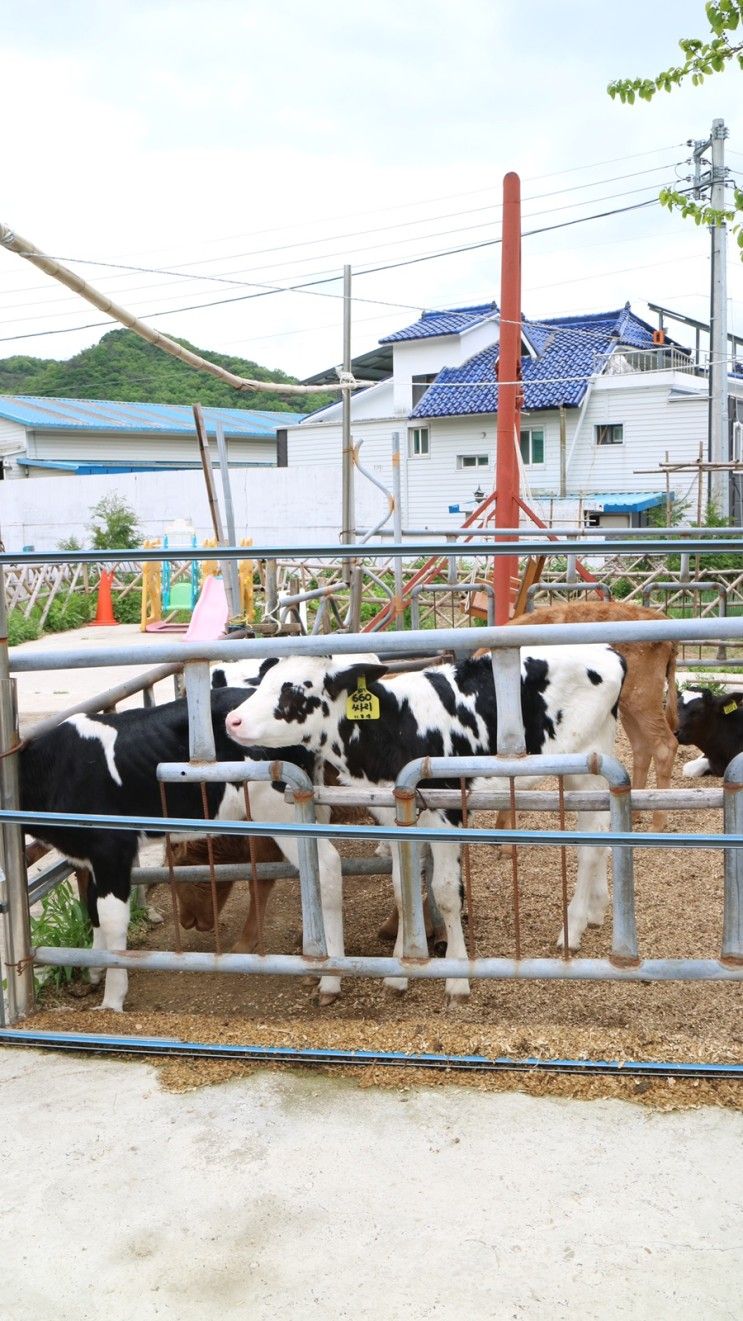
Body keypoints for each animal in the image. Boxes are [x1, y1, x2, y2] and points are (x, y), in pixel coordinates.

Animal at [19, 686, 343, 1003]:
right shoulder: (88, 856)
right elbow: (92, 909)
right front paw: (94, 970)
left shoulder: (111, 849)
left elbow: (111, 918)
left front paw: (112, 998)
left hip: (278, 806)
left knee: (326, 865)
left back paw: (330, 979)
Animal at [224, 642, 624, 998]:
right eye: (263, 680)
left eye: (293, 689)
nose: (232, 719)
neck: (393, 726)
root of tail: (608, 651)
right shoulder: (393, 815)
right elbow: (403, 890)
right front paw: (401, 971)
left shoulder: (445, 813)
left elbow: (445, 893)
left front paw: (457, 979)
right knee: (598, 837)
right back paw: (595, 910)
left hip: (590, 762)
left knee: (592, 845)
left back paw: (572, 929)